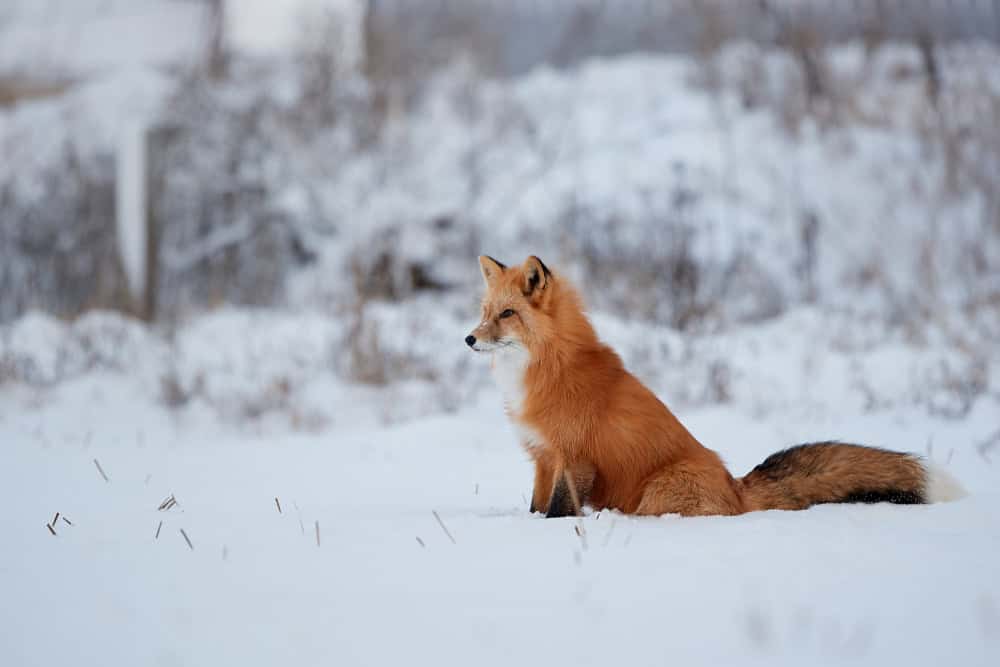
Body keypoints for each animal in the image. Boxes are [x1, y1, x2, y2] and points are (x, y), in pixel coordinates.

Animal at [466, 254, 965, 518]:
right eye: (486, 312)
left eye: (507, 315)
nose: (469, 339)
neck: (548, 369)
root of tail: (737, 487)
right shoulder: (543, 457)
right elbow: (537, 507)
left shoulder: (574, 458)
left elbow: (558, 512)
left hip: (657, 493)